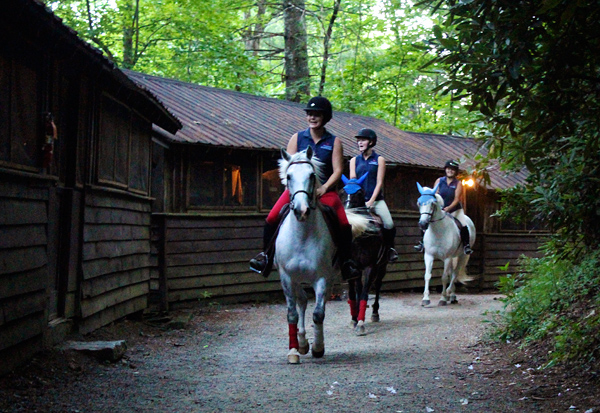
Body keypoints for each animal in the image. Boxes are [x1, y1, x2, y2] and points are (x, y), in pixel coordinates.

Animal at [340, 174, 386, 334]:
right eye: (341, 192)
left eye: (359, 194)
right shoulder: (349, 267)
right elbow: (353, 293)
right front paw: (354, 319)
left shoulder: (369, 266)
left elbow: (365, 292)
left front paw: (360, 323)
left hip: (382, 266)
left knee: (377, 285)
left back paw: (374, 313)